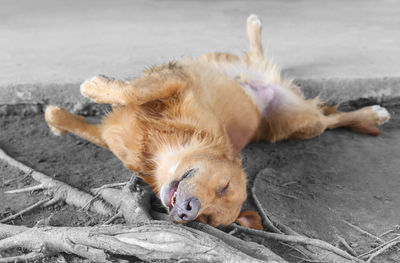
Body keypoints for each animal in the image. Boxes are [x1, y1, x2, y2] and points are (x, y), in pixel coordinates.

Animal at [44, 13, 390, 229]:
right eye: (223, 186)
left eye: (208, 220)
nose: (188, 212)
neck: (158, 149)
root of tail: (267, 87)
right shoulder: (178, 80)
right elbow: (127, 93)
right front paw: (89, 94)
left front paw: (73, 107)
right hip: (213, 61)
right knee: (257, 56)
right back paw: (254, 27)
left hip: (303, 126)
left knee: (331, 119)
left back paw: (374, 113)